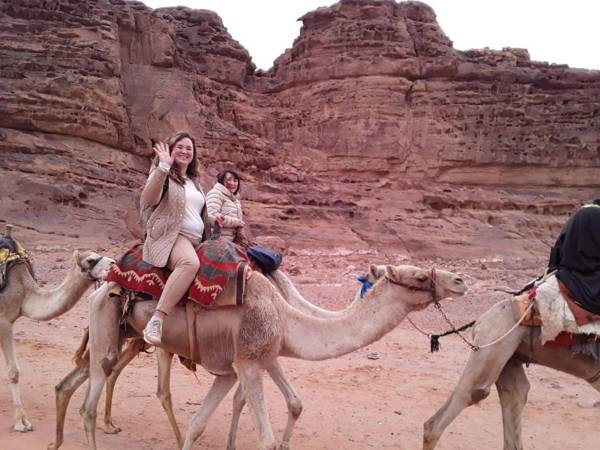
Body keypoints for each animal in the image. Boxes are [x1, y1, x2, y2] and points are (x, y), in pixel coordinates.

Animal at [0, 246, 114, 432]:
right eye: (90, 260)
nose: (114, 263)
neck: (24, 292)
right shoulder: (4, 320)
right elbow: (14, 372)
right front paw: (21, 422)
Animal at [61, 264, 466, 450]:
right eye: (418, 277)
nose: (460, 281)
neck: (286, 317)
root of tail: (104, 285)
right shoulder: (249, 362)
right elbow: (265, 438)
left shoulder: (250, 362)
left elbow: (201, 423)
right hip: (106, 327)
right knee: (92, 398)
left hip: (120, 336)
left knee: (78, 379)